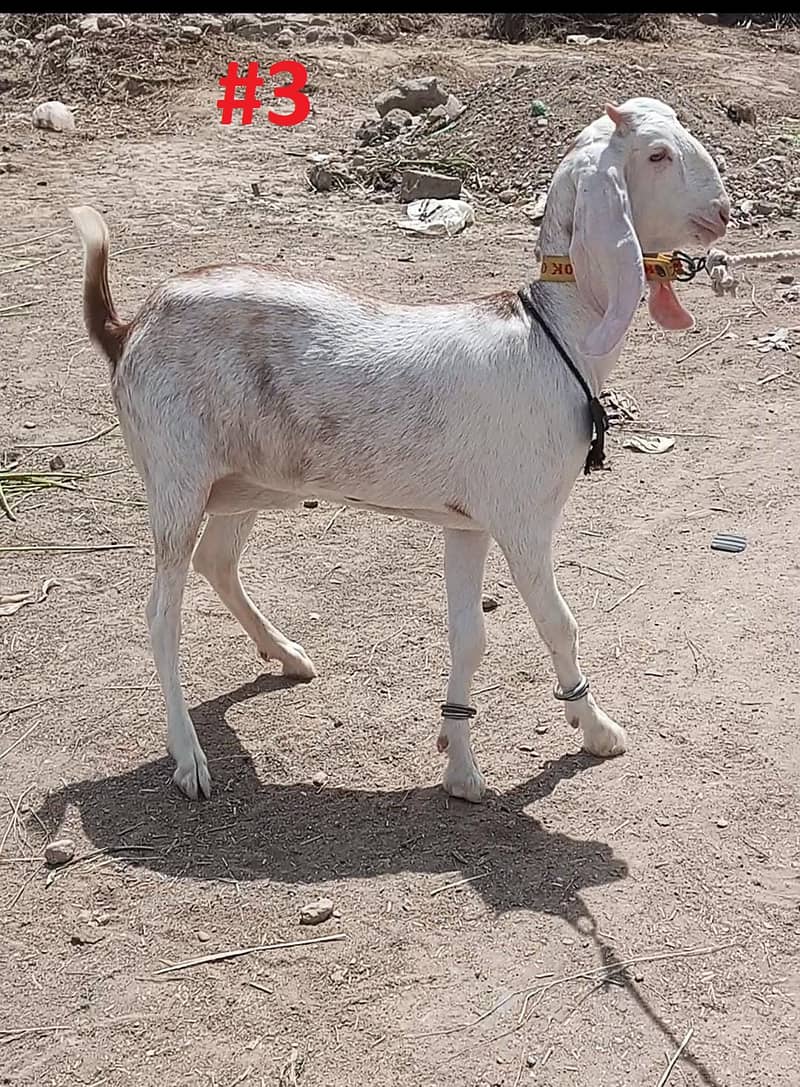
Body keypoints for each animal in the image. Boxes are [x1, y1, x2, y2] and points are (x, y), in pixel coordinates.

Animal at [70, 97, 730, 804]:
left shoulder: (468, 523)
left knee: (216, 561)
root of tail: (128, 327)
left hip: (246, 482)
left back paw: (288, 656)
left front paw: (460, 767)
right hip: (177, 479)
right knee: (161, 614)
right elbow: (559, 623)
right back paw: (189, 757)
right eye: (657, 154)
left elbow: (469, 636)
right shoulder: (523, 520)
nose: (722, 213)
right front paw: (598, 731)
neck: (551, 336)